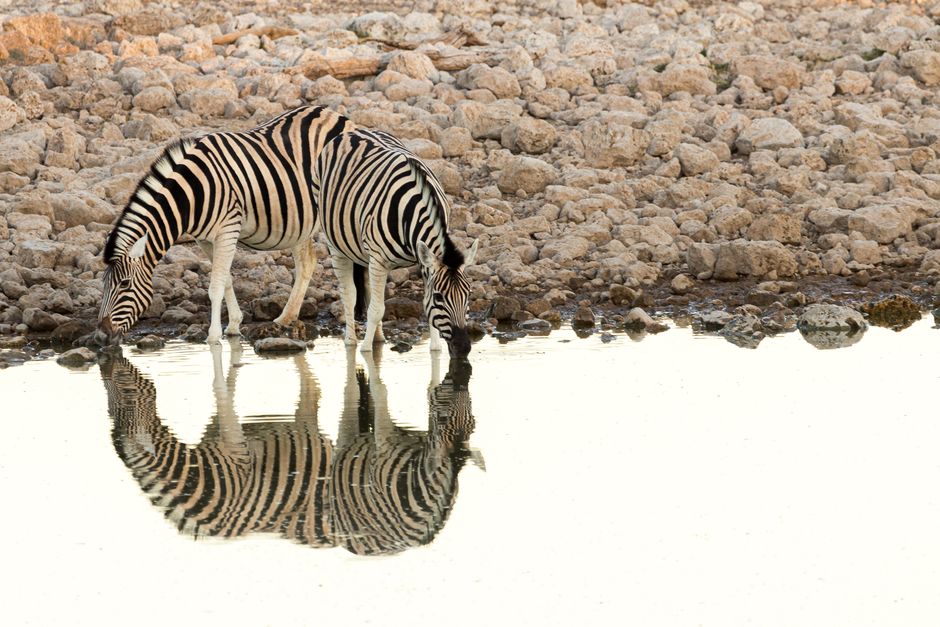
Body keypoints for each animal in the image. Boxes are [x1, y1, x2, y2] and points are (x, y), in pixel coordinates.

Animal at [96, 105, 355, 346]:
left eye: (125, 284)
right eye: (104, 284)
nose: (101, 336)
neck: (192, 195)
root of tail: (332, 113)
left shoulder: (228, 230)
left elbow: (215, 287)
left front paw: (213, 337)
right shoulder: (205, 239)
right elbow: (227, 279)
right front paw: (233, 325)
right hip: (301, 221)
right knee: (307, 262)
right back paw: (286, 318)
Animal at [313, 128, 479, 357]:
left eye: (469, 294)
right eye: (439, 297)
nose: (463, 348)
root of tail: (355, 130)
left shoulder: (422, 262)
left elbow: (422, 307)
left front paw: (435, 350)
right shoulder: (379, 259)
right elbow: (376, 309)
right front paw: (366, 351)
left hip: (366, 255)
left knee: (368, 291)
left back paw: (379, 337)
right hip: (335, 242)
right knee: (349, 294)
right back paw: (351, 342)